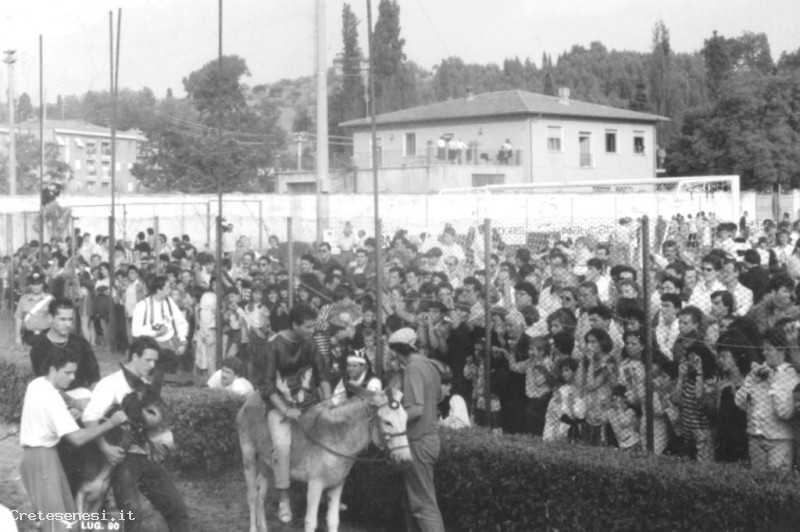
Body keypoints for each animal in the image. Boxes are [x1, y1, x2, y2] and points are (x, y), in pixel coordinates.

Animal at [237, 384, 412, 532]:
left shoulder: (337, 485)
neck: (338, 438)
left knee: (260, 492)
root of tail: (251, 397)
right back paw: (255, 527)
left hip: (267, 463)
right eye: (388, 422)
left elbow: (333, 520)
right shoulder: (315, 485)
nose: (406, 460)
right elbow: (311, 522)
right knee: (252, 495)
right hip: (250, 456)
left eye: (406, 419)